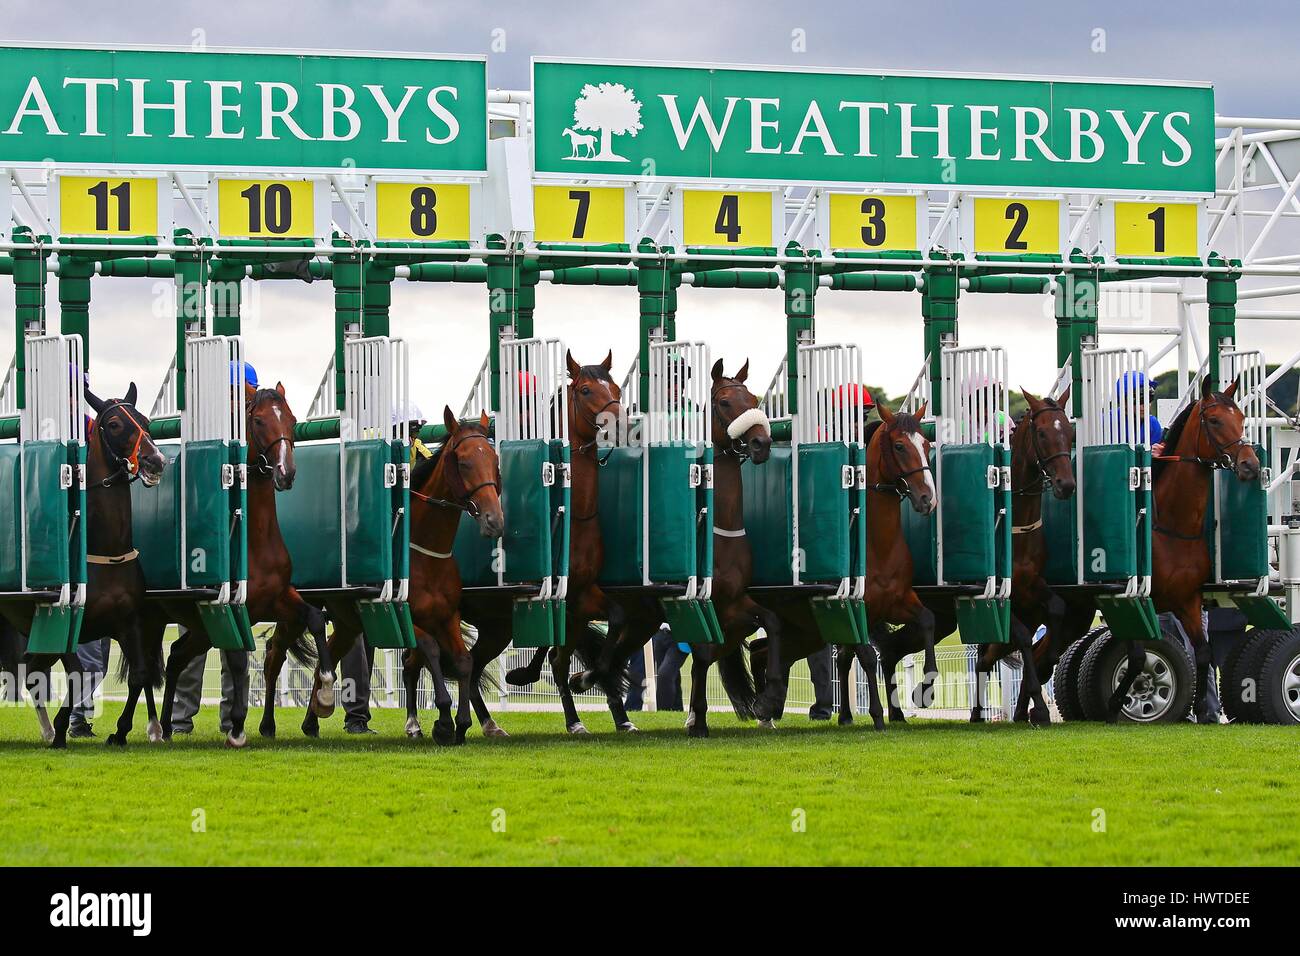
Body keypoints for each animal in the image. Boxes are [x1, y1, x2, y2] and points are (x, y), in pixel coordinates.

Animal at [5, 385, 167, 749]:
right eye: (116, 424)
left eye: (147, 421)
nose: (155, 461)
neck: (105, 551)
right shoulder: (64, 620)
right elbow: (78, 673)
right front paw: (63, 727)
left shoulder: (129, 621)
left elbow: (139, 674)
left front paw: (120, 731)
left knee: (31, 671)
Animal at [304, 403, 506, 749]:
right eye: (464, 462)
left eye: (494, 461)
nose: (494, 520)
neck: (426, 552)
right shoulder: (406, 616)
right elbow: (430, 650)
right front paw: (443, 722)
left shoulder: (447, 616)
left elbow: (463, 661)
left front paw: (462, 724)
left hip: (347, 621)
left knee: (326, 655)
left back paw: (314, 716)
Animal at [564, 358, 774, 738]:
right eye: (725, 402)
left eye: (752, 398)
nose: (761, 443)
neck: (719, 531)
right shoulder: (700, 606)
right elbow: (705, 653)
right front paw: (698, 719)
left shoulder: (735, 605)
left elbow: (762, 626)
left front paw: (762, 703)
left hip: (640, 618)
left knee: (611, 656)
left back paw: (613, 709)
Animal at [967, 385, 1076, 723]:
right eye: (1041, 433)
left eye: (1070, 432)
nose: (1066, 485)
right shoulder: (1000, 595)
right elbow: (1024, 638)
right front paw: (1039, 706)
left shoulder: (1032, 586)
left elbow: (1057, 609)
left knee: (987, 657)